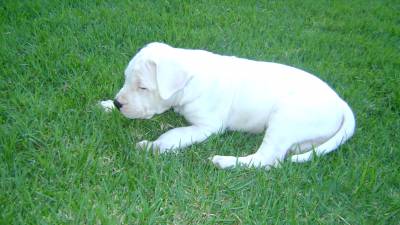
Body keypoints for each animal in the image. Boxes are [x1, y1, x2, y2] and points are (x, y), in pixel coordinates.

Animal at [101, 42, 356, 169]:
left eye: (143, 87)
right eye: (126, 79)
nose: (118, 103)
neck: (191, 79)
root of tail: (342, 104)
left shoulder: (207, 127)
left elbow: (175, 134)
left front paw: (153, 145)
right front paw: (106, 105)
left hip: (286, 117)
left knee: (266, 159)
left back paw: (224, 161)